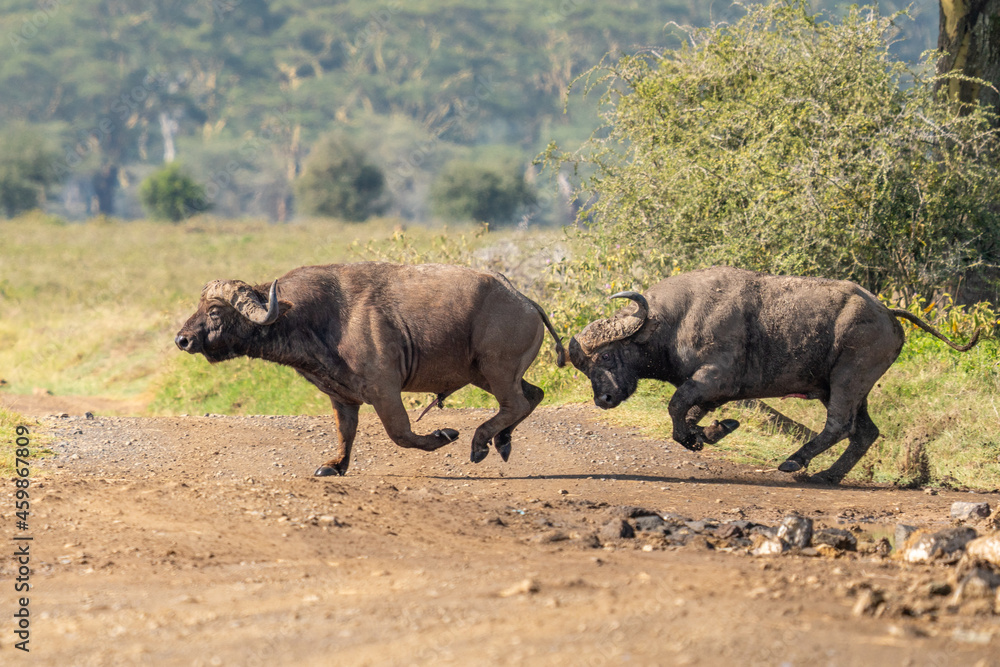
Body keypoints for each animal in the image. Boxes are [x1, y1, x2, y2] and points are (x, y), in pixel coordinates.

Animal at [175, 262, 566, 476]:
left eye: (214, 311)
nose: (182, 339)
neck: (314, 315)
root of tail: (525, 302)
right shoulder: (342, 398)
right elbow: (345, 433)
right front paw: (334, 466)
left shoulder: (385, 391)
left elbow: (401, 433)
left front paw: (443, 435)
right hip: (485, 374)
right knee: (533, 396)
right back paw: (501, 442)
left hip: (496, 370)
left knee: (516, 403)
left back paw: (481, 442)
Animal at [568, 266, 981, 484]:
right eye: (585, 367)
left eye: (607, 355)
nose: (603, 399)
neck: (672, 321)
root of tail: (887, 312)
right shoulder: (714, 391)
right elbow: (688, 414)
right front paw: (712, 432)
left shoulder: (714, 377)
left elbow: (675, 406)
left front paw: (699, 436)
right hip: (845, 387)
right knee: (864, 432)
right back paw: (827, 476)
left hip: (849, 378)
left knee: (840, 426)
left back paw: (795, 462)